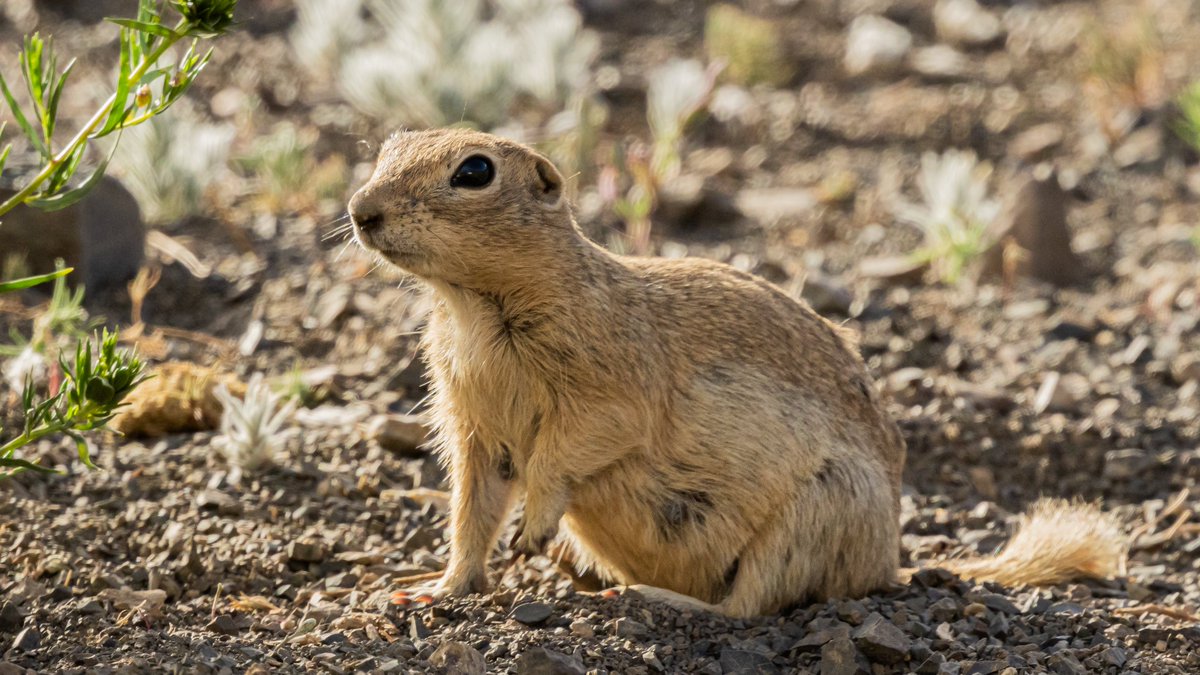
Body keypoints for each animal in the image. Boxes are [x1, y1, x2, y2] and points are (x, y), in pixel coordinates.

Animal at [349, 128, 1126, 617]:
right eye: (386, 148)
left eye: (474, 170)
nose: (361, 210)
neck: (475, 307)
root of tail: (888, 564)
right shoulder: (472, 426)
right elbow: (471, 510)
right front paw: (436, 589)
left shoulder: (609, 386)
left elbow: (569, 452)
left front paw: (534, 531)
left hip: (819, 510)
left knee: (746, 609)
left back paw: (642, 596)